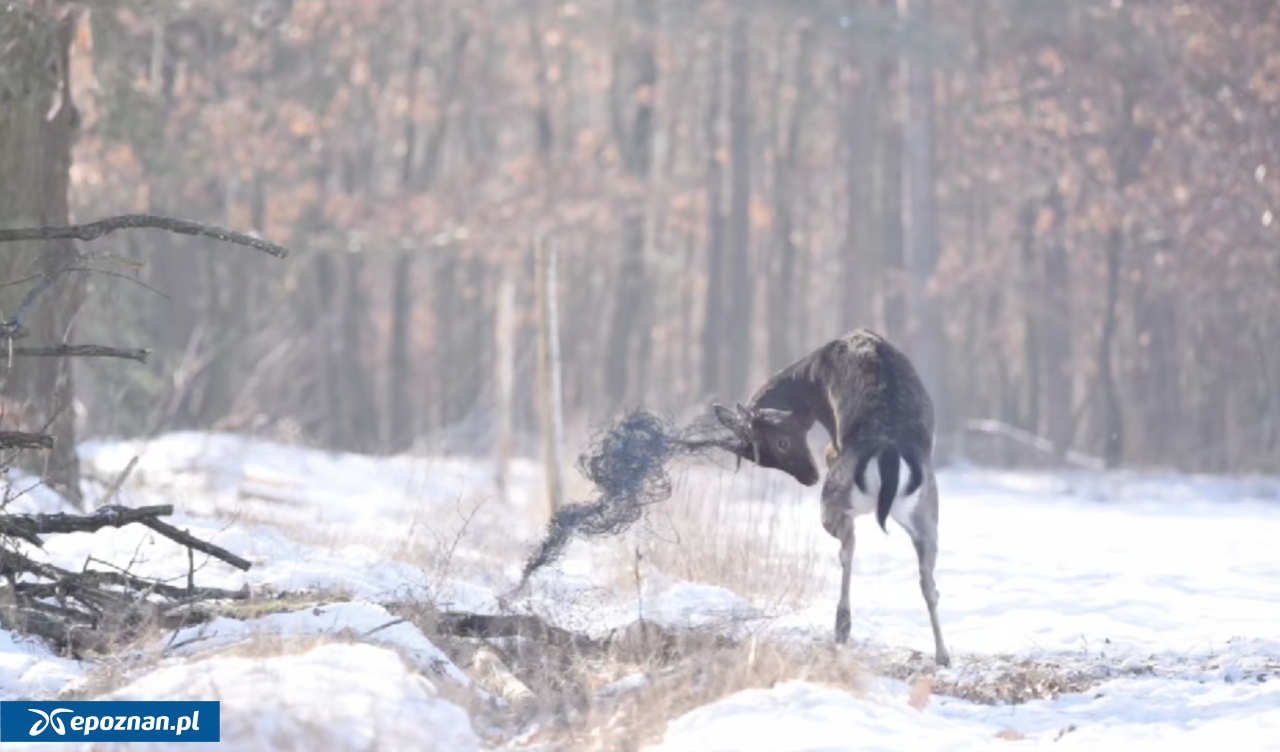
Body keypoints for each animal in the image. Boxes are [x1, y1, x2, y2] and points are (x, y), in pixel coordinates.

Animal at [711, 326, 952, 665]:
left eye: (782, 442)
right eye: (760, 458)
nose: (811, 477)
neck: (810, 379)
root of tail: (889, 457)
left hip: (845, 498)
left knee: (850, 544)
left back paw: (843, 628)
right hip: (925, 509)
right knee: (924, 579)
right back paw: (940, 653)